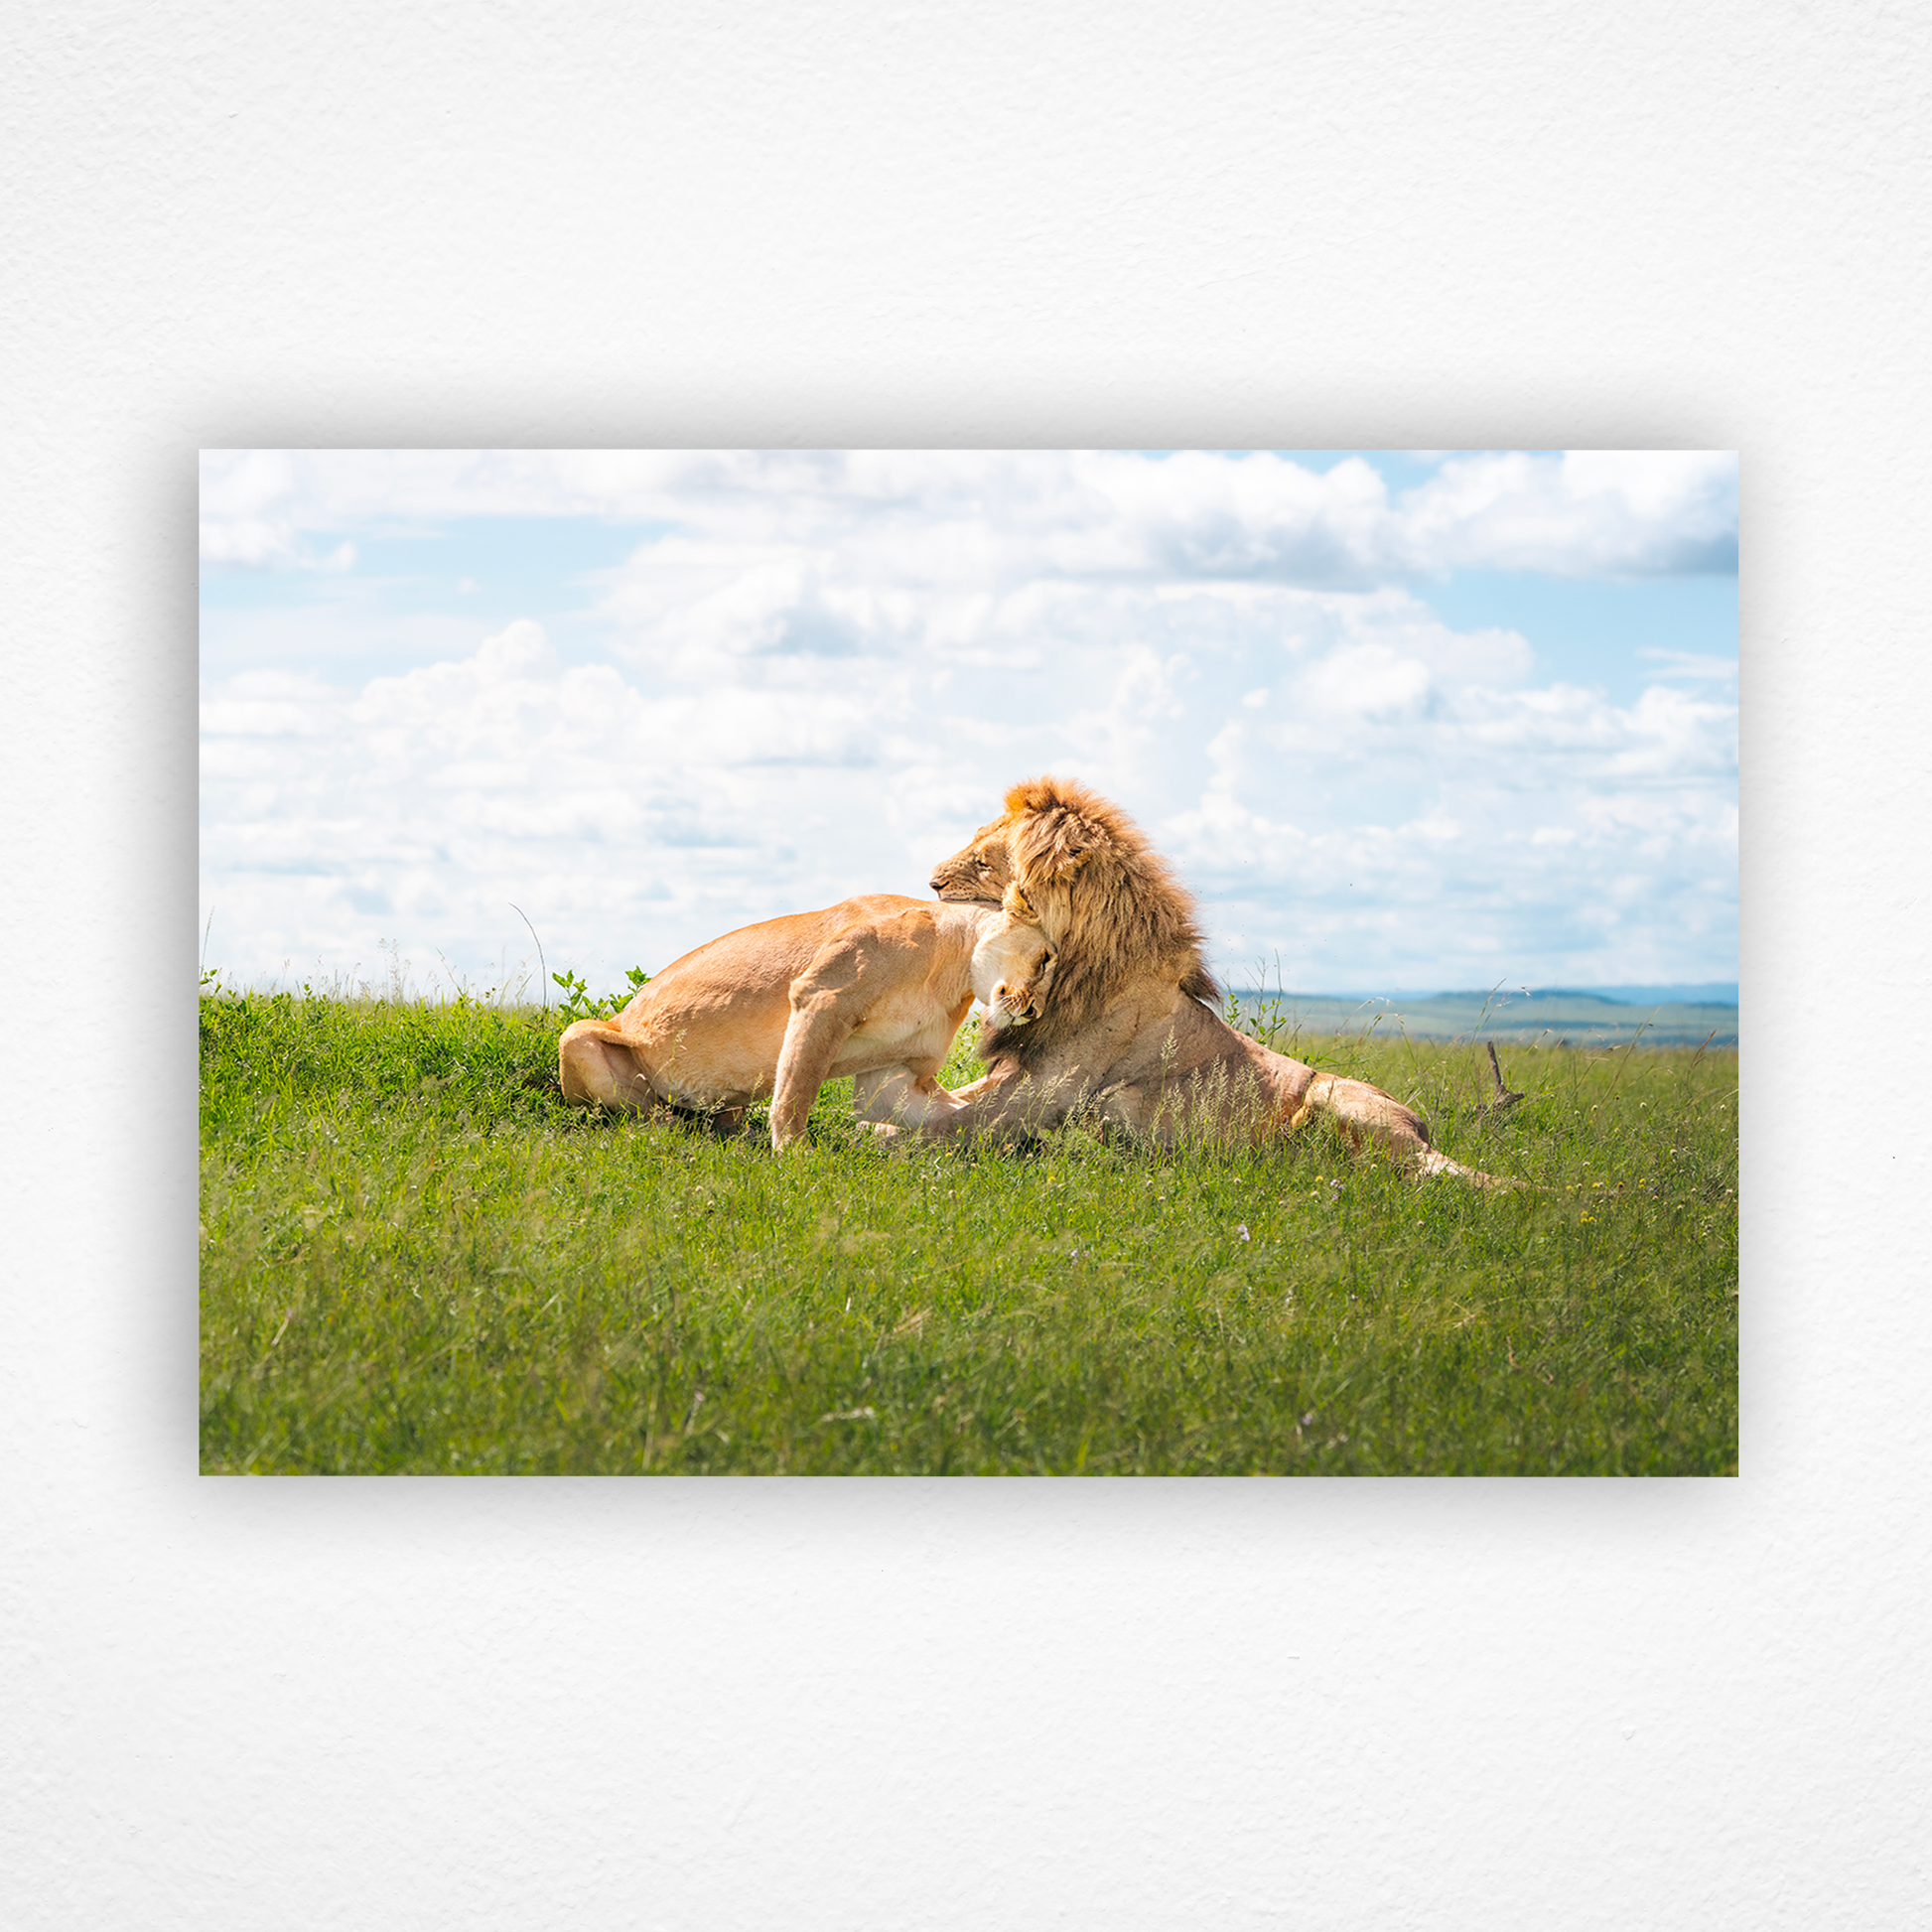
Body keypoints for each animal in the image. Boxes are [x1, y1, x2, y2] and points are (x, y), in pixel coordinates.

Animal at [557, 894, 1007, 1151]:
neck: (955, 969)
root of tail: (623, 1015)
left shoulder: (896, 1072)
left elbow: (960, 1111)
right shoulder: (821, 995)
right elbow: (795, 1087)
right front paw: (795, 1154)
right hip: (575, 1035)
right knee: (640, 1113)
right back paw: (676, 1128)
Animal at [916, 777, 1506, 1184]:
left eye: (984, 862)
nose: (932, 882)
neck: (1069, 969)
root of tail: (1420, 1124)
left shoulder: (1037, 1092)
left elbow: (926, 1129)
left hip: (1332, 1099)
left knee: (1438, 1174)